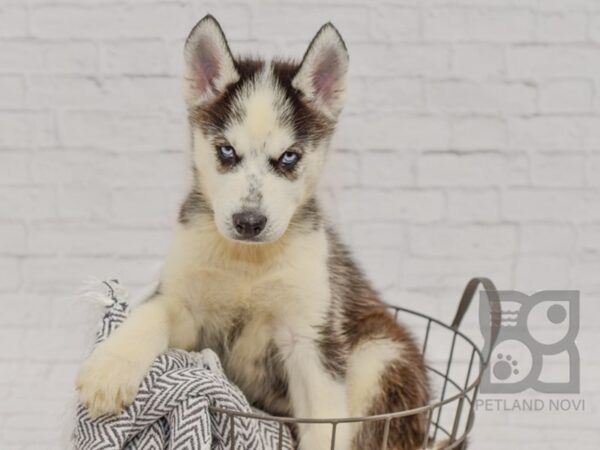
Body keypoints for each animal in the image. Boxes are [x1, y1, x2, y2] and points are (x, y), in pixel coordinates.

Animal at [76, 14, 432, 450]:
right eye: (227, 151)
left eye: (289, 157)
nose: (248, 222)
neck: (248, 262)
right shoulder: (186, 309)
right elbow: (151, 313)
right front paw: (110, 367)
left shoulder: (310, 337)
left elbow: (324, 420)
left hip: (379, 351)